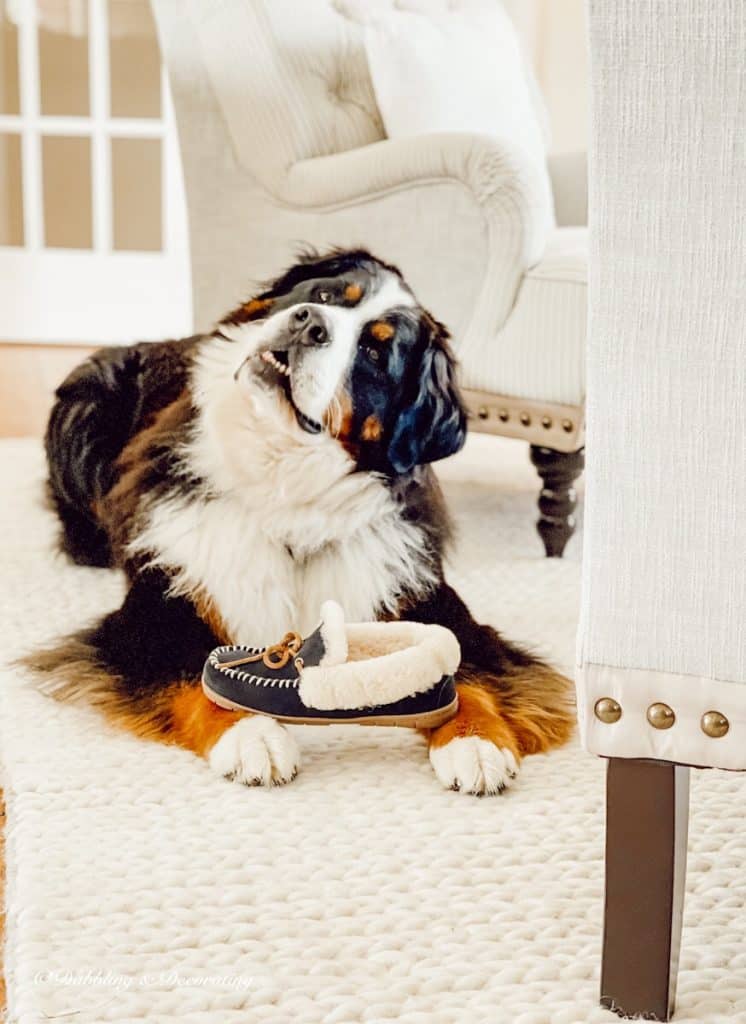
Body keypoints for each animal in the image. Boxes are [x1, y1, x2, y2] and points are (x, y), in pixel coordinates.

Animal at [30, 251, 568, 794]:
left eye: (374, 353)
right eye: (327, 294)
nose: (310, 324)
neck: (281, 481)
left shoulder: (421, 595)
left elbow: (463, 669)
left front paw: (476, 743)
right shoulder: (161, 605)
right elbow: (195, 673)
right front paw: (252, 737)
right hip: (85, 405)